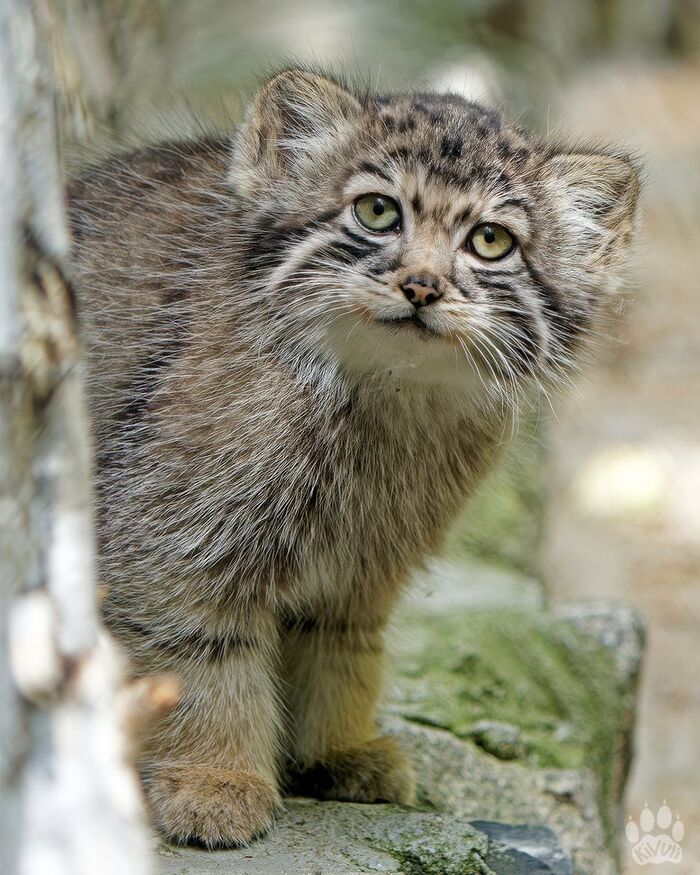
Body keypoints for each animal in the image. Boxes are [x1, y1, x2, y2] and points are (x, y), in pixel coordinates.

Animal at [69, 68, 640, 848]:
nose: (422, 284)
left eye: (491, 241)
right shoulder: (170, 537)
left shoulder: (364, 564)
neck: (382, 403)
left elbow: (342, 652)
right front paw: (213, 778)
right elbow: (202, 659)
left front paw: (335, 749)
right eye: (377, 211)